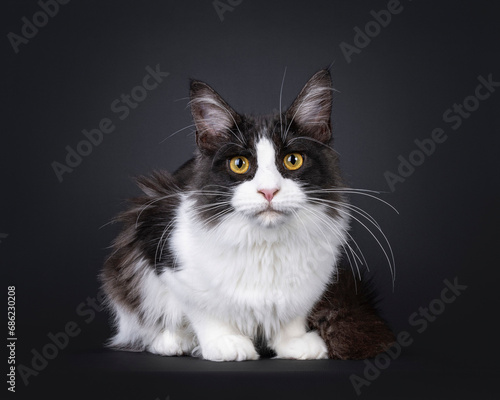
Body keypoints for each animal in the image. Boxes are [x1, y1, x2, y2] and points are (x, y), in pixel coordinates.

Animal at [100, 69, 394, 362]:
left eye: (293, 160)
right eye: (239, 164)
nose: (268, 191)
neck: (267, 244)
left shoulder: (310, 283)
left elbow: (292, 315)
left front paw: (294, 343)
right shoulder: (167, 255)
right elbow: (202, 309)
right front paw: (225, 342)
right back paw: (172, 341)